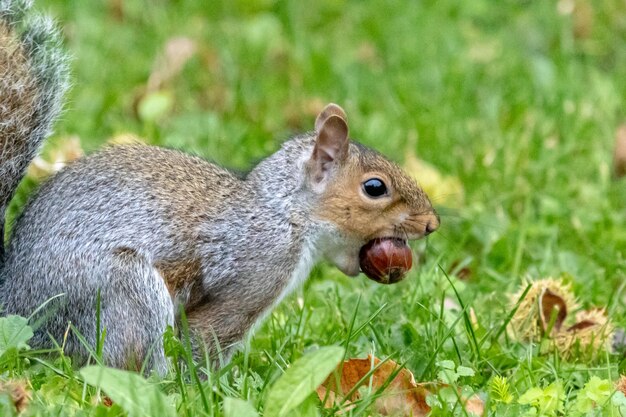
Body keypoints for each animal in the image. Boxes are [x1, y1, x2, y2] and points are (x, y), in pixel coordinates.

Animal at [0, 0, 436, 370]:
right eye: (375, 188)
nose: (432, 223)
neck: (284, 212)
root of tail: (13, 302)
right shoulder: (255, 274)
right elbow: (204, 338)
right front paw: (202, 388)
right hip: (119, 289)